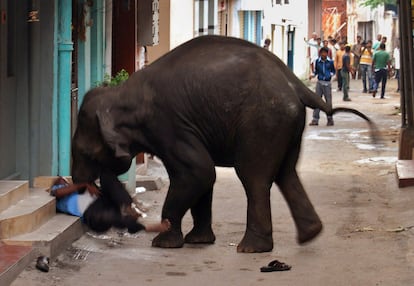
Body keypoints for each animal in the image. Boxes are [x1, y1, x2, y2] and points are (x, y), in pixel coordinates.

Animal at [71, 35, 376, 252]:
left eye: (84, 153)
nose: (79, 184)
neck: (122, 95)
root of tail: (295, 84)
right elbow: (202, 178)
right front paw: (198, 241)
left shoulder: (168, 125)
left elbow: (198, 172)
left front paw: (164, 243)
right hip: (287, 123)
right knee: (286, 173)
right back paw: (309, 235)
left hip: (264, 121)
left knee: (254, 177)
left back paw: (251, 249)